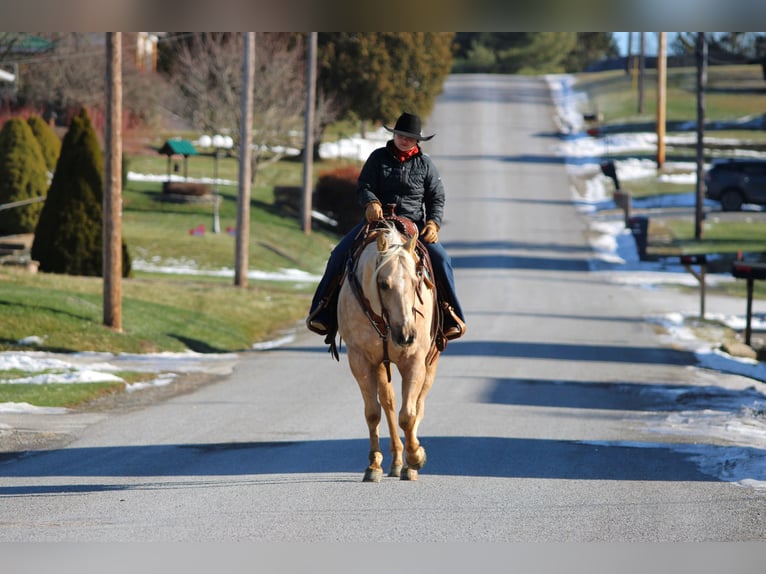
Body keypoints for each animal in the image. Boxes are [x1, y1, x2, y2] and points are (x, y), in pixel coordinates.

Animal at [337, 220, 440, 482]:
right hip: (381, 364)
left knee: (418, 404)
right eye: (384, 284)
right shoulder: (361, 360)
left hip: (430, 361)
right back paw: (395, 461)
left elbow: (409, 415)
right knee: (389, 402)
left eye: (416, 280)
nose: (406, 335)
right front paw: (374, 465)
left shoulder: (414, 360)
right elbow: (373, 412)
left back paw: (407, 462)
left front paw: (416, 459)